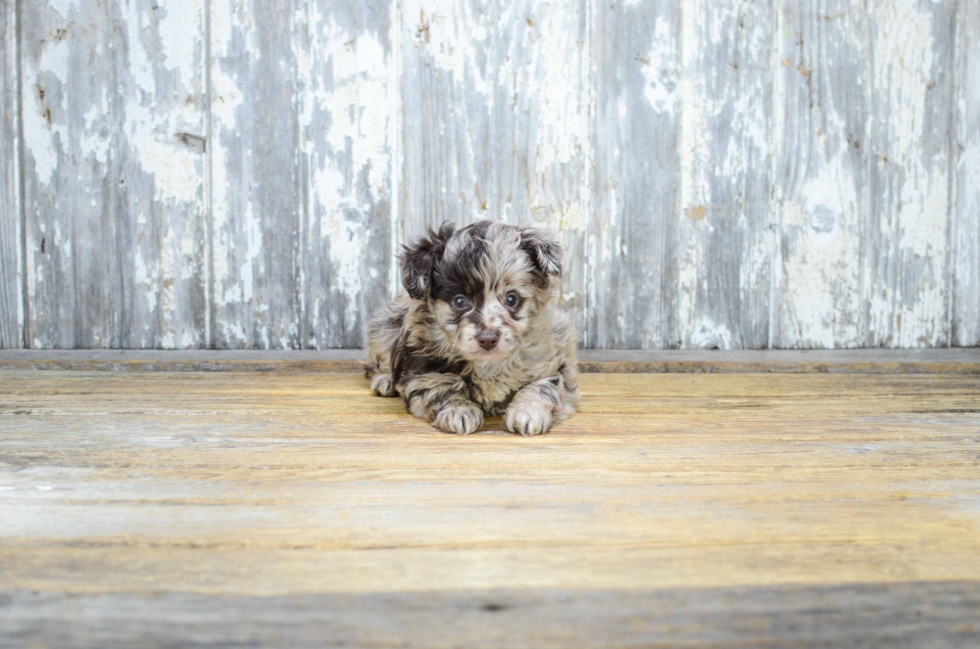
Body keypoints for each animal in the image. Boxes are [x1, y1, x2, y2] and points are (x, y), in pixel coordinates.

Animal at [364, 220, 580, 438]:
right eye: (460, 301)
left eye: (511, 299)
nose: (488, 338)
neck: (489, 363)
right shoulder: (423, 366)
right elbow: (439, 385)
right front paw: (458, 410)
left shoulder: (554, 359)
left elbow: (544, 386)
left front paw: (528, 411)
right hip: (386, 325)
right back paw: (385, 380)